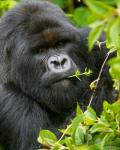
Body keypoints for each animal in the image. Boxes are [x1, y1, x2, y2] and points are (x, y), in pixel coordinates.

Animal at [0, 0, 115, 150]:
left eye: (60, 44)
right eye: (41, 50)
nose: (59, 62)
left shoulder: (91, 41)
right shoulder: (7, 96)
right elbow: (49, 142)